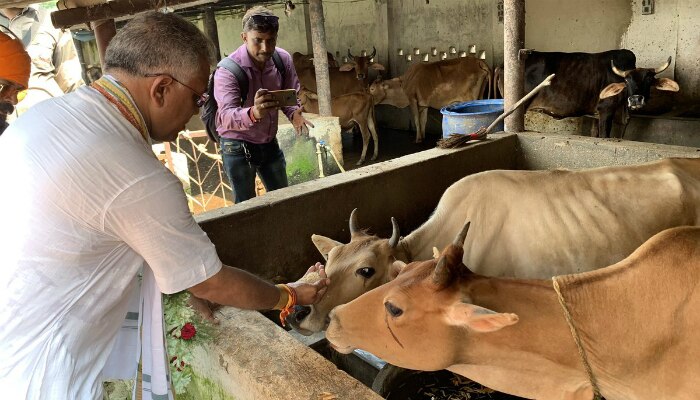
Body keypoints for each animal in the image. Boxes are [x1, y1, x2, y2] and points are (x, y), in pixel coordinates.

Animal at [492, 49, 680, 138]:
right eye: (626, 81)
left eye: (649, 79)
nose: (635, 100)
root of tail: (501, 65)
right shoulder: (606, 111)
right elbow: (605, 136)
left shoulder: (596, 115)